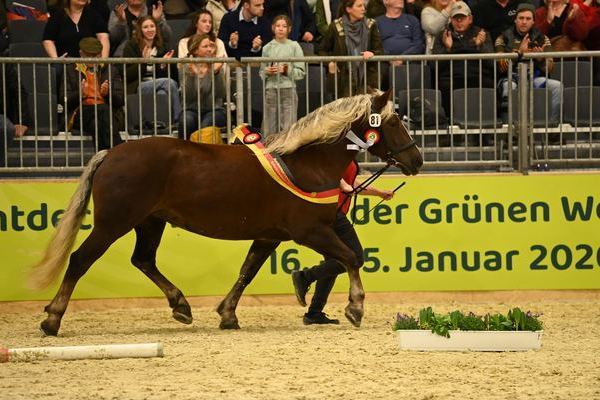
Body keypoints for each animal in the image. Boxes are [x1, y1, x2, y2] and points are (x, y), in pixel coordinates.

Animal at [29, 90, 422, 334]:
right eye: (392, 122)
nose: (416, 160)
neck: (307, 163)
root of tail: (110, 152)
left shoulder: (268, 237)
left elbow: (247, 272)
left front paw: (227, 314)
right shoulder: (309, 231)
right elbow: (350, 258)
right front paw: (355, 308)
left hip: (150, 222)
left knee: (143, 260)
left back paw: (181, 306)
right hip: (114, 223)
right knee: (80, 260)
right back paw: (52, 320)